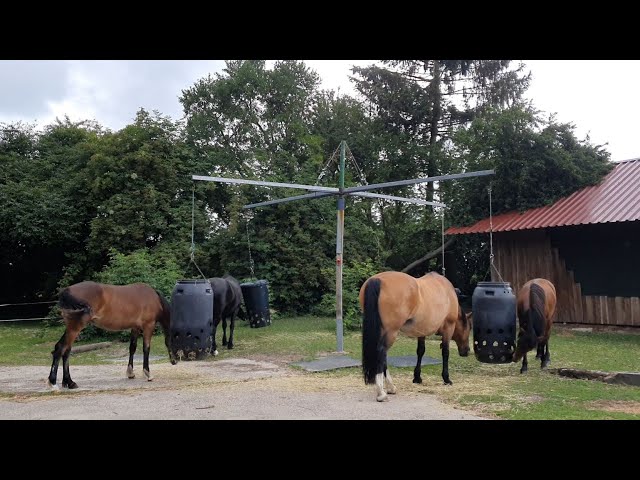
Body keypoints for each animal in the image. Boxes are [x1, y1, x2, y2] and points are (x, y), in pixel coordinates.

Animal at [360, 270, 470, 402]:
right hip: (391, 332)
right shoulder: (448, 328)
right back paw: (382, 392)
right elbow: (445, 353)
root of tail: (377, 280)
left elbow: (420, 351)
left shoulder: (421, 331)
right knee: (381, 352)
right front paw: (446, 378)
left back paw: (391, 388)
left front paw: (417, 377)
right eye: (469, 328)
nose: (467, 351)